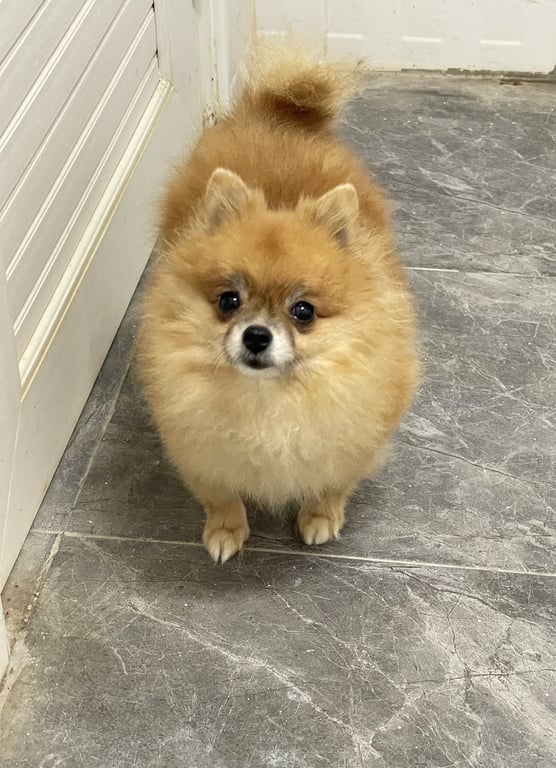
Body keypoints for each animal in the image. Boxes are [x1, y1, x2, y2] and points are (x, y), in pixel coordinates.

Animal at [139, 43, 419, 562]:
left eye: (302, 311)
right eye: (229, 301)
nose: (256, 335)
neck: (268, 401)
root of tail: (278, 112)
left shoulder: (354, 438)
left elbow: (332, 484)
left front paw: (320, 517)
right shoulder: (198, 449)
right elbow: (221, 496)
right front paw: (225, 531)